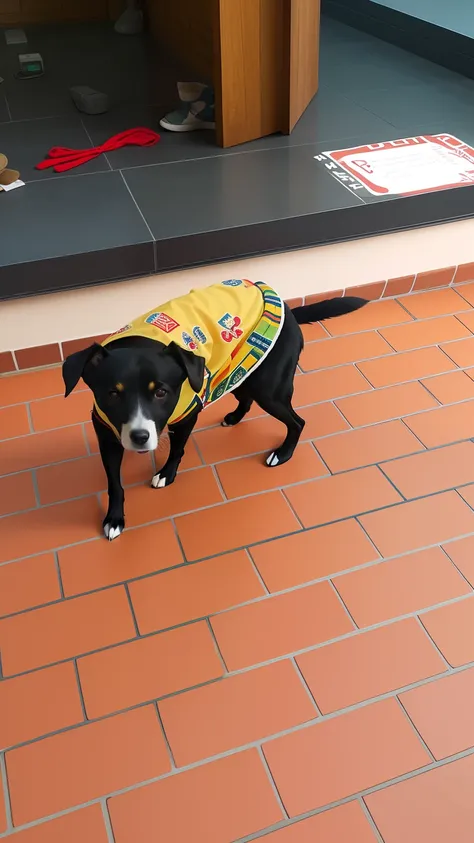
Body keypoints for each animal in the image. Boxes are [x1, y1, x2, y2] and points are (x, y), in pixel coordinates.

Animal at [63, 292, 366, 540]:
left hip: (269, 389)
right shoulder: (107, 434)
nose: (139, 437)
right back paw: (233, 417)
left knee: (298, 421)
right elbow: (114, 483)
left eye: (161, 392)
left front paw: (166, 474)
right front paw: (114, 519)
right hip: (243, 371)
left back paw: (282, 453)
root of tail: (288, 308)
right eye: (113, 394)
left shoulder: (187, 415)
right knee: (246, 398)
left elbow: (177, 450)